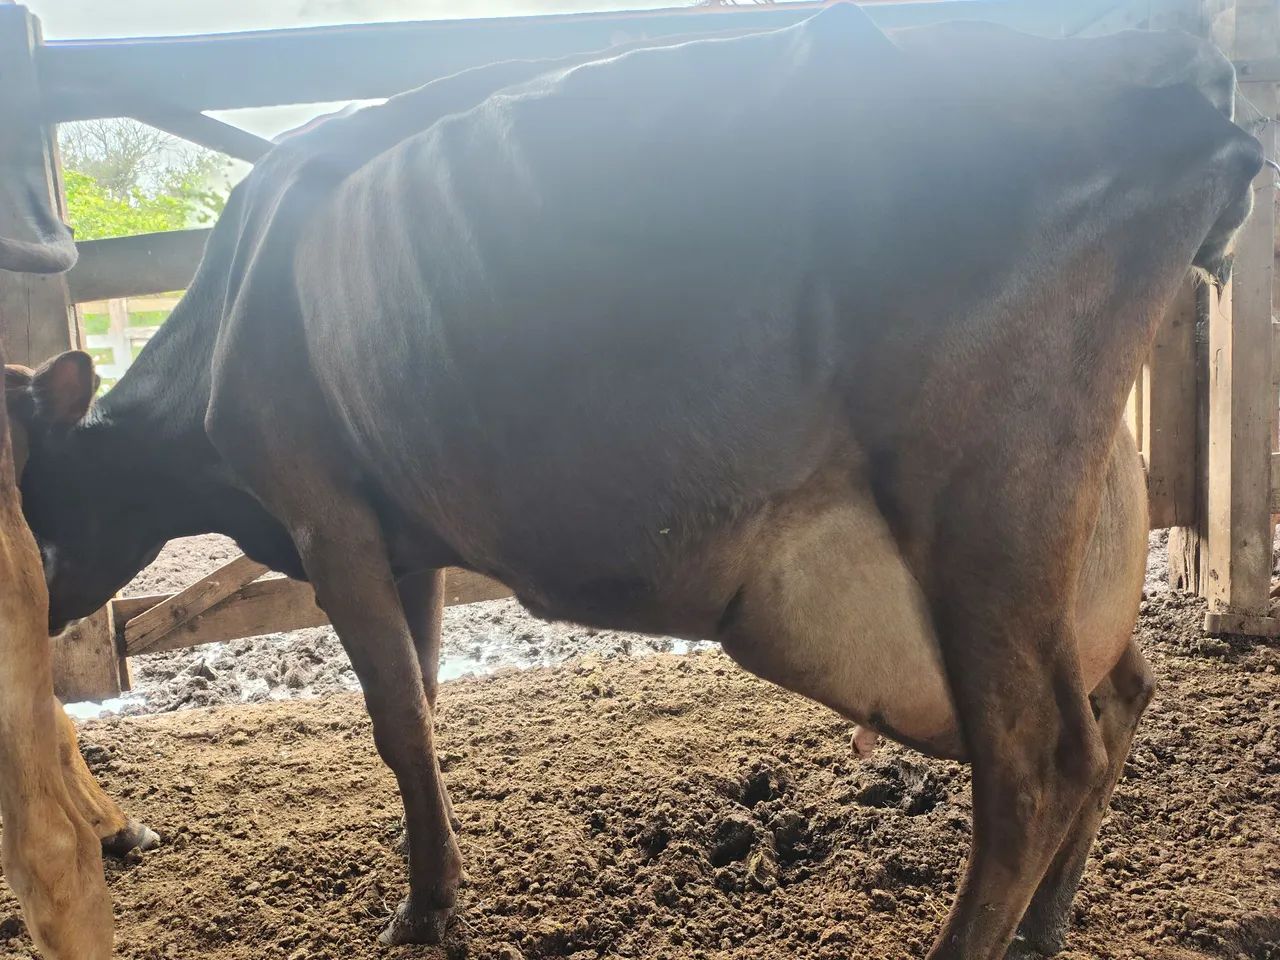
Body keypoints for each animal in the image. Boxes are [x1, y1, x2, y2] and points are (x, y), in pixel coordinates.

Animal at [0, 5, 1263, 957]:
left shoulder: (327, 518)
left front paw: (425, 913)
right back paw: (1047, 923)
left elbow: (397, 724)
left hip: (979, 511)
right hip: (1075, 522)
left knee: (1038, 760)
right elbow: (424, 705)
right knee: (1119, 694)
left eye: (26, 495)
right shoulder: (402, 540)